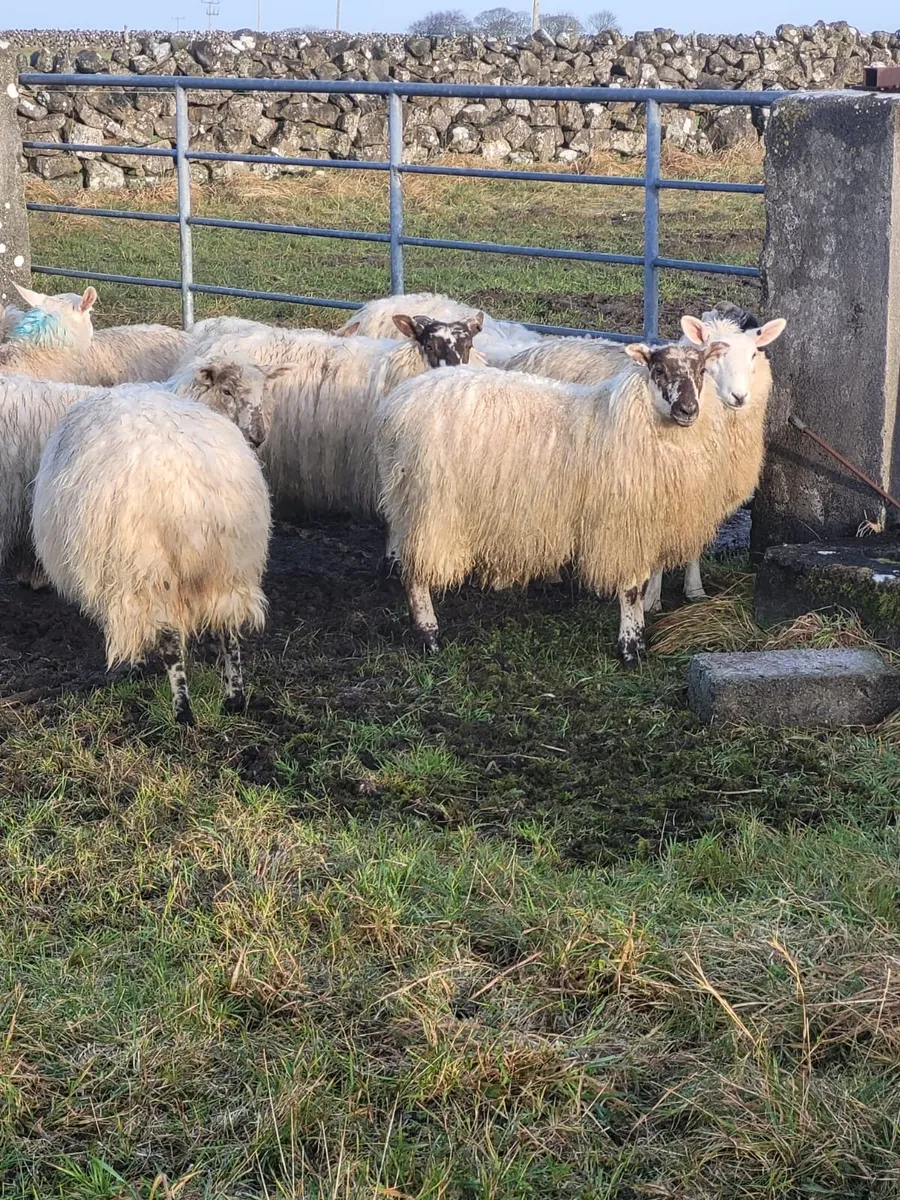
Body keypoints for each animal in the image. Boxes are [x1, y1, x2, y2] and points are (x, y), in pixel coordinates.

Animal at [31, 368, 272, 726]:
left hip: (147, 568)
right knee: (229, 632)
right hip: (232, 564)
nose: (257, 437)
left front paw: (135, 666)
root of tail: (188, 495)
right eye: (228, 391)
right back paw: (234, 699)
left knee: (171, 640)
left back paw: (182, 711)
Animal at [376, 340, 730, 667]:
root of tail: (397, 405)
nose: (688, 410)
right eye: (658, 370)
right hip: (430, 506)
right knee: (415, 575)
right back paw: (430, 637)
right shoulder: (623, 528)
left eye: (702, 371)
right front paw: (630, 649)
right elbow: (632, 590)